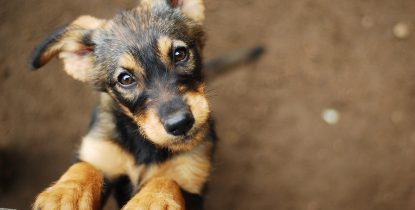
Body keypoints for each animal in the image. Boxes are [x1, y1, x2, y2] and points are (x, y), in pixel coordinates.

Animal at [30, 0, 216, 209]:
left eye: (180, 54)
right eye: (125, 79)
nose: (180, 124)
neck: (144, 145)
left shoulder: (191, 179)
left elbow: (166, 180)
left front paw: (150, 201)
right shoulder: (100, 151)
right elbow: (85, 166)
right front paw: (64, 194)